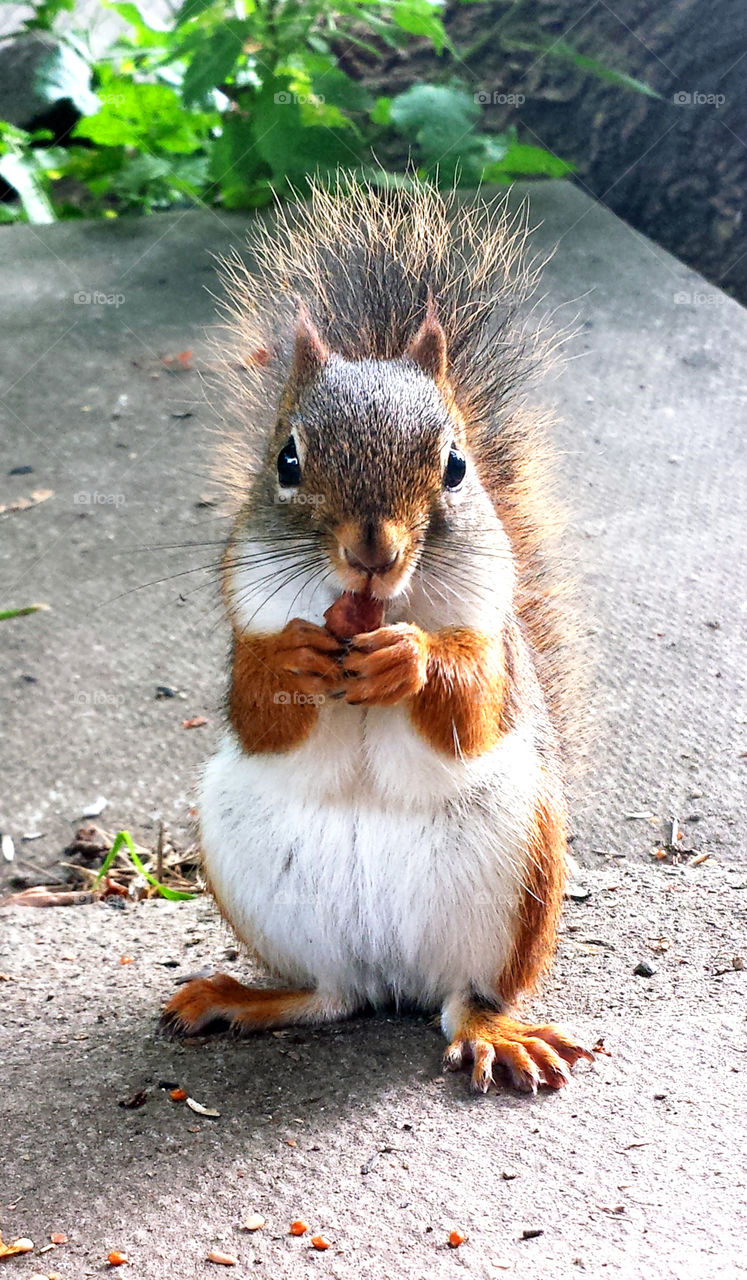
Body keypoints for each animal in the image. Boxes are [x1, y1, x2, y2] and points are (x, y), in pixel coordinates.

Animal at [162, 176, 594, 1093]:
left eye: (457, 466)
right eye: (286, 461)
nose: (373, 552)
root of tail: (391, 975)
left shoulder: (494, 639)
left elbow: (472, 707)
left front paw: (411, 659)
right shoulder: (241, 619)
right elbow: (257, 708)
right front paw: (293, 656)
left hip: (516, 880)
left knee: (465, 999)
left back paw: (497, 1032)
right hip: (258, 880)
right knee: (329, 997)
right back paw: (243, 999)